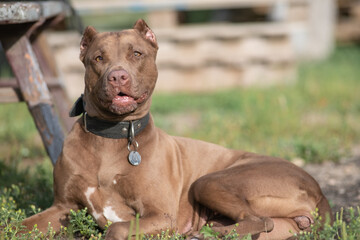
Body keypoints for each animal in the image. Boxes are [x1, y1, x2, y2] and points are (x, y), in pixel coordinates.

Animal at [22, 19, 332, 239]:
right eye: (98, 58)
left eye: (137, 53)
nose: (117, 76)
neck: (112, 135)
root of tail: (319, 189)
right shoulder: (62, 208)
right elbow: (23, 225)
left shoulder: (161, 215)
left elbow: (117, 227)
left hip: (210, 181)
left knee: (259, 220)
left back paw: (204, 235)